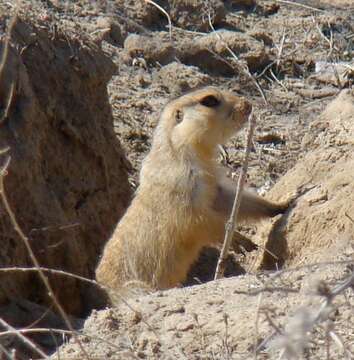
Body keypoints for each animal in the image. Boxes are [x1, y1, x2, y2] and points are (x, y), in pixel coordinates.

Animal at [96, 86, 288, 292]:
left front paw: (283, 204)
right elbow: (198, 220)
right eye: (209, 100)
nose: (249, 104)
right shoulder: (183, 186)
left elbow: (232, 200)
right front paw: (240, 241)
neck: (186, 152)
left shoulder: (214, 186)